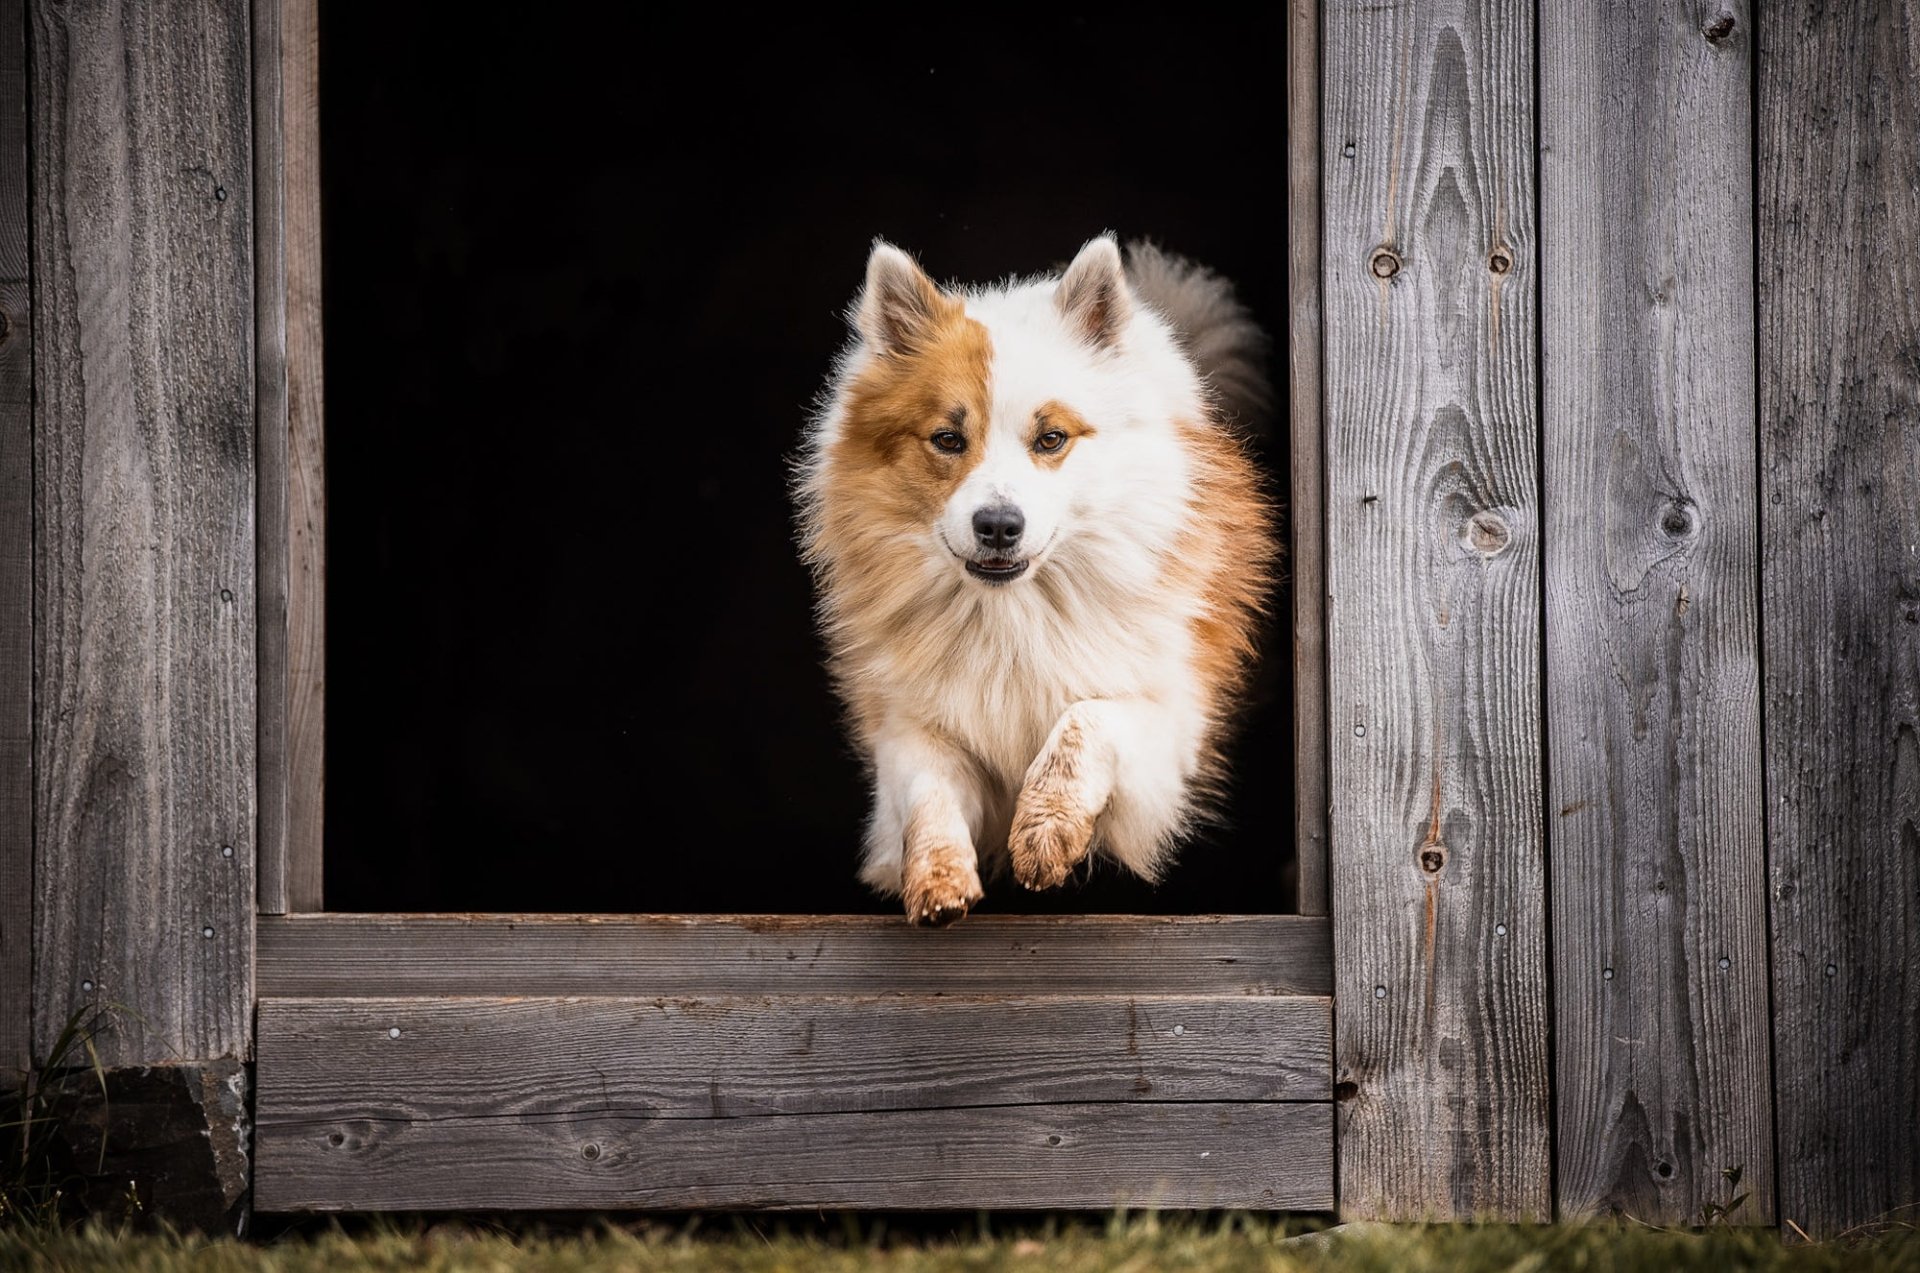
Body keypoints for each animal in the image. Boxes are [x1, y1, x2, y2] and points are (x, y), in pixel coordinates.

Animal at [794, 234, 1274, 921]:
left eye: (1051, 438)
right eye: (947, 438)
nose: (998, 525)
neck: (1012, 614)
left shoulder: (1171, 721)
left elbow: (1085, 720)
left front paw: (1045, 832)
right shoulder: (912, 724)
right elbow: (928, 791)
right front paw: (937, 879)